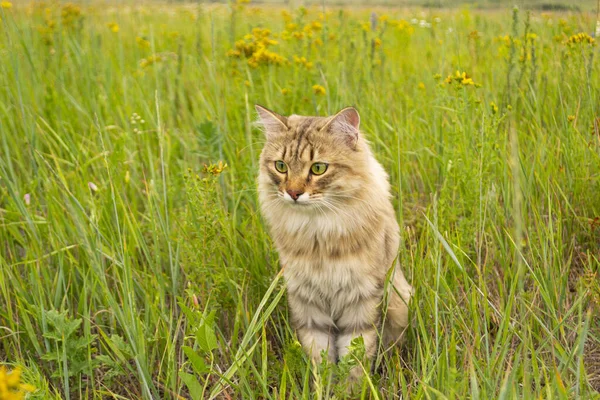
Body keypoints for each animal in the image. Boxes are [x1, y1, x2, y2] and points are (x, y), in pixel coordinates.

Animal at [255, 104, 410, 378]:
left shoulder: (360, 299)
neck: (317, 233)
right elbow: (320, 359)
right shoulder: (308, 303)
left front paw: (351, 385)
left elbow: (355, 360)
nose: (293, 193)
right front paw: (323, 384)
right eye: (281, 166)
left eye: (318, 168)